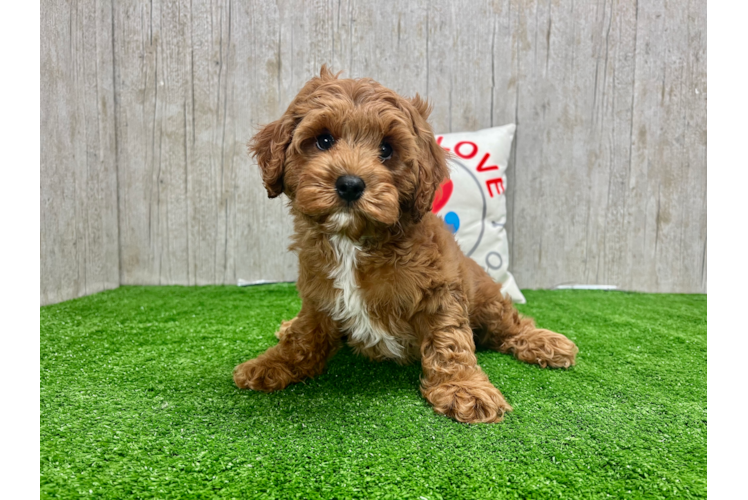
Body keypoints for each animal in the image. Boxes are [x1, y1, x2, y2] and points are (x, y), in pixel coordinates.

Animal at [235, 66, 580, 424]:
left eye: (386, 149)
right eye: (324, 140)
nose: (350, 184)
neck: (354, 241)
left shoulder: (440, 293)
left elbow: (450, 340)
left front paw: (463, 388)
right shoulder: (319, 297)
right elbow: (305, 337)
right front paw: (271, 364)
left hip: (486, 299)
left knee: (508, 324)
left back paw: (545, 342)